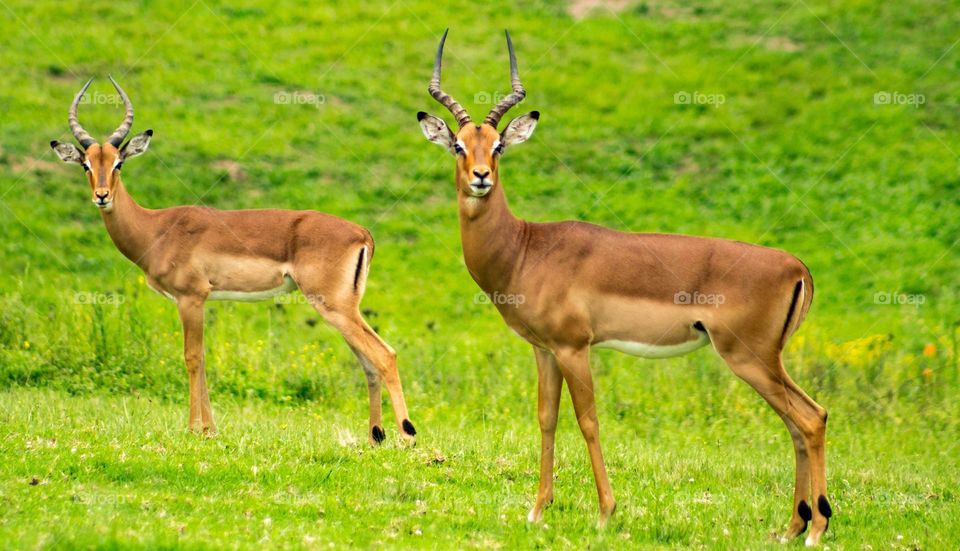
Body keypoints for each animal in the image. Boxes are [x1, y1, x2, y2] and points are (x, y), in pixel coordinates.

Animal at [50, 77, 417, 446]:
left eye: (118, 163)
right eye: (86, 164)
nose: (102, 196)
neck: (156, 229)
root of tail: (363, 233)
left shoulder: (191, 298)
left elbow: (192, 357)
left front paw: (194, 429)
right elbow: (203, 359)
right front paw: (210, 429)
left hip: (334, 306)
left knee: (385, 355)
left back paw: (408, 435)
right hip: (343, 309)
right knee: (369, 363)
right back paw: (375, 436)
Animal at [417, 30, 831, 545]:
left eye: (498, 147)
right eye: (458, 145)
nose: (481, 178)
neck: (526, 248)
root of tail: (797, 267)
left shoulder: (575, 348)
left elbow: (589, 421)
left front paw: (605, 513)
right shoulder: (544, 350)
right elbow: (546, 419)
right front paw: (537, 511)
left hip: (750, 357)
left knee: (810, 418)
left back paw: (816, 530)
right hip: (766, 361)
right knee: (799, 422)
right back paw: (792, 527)